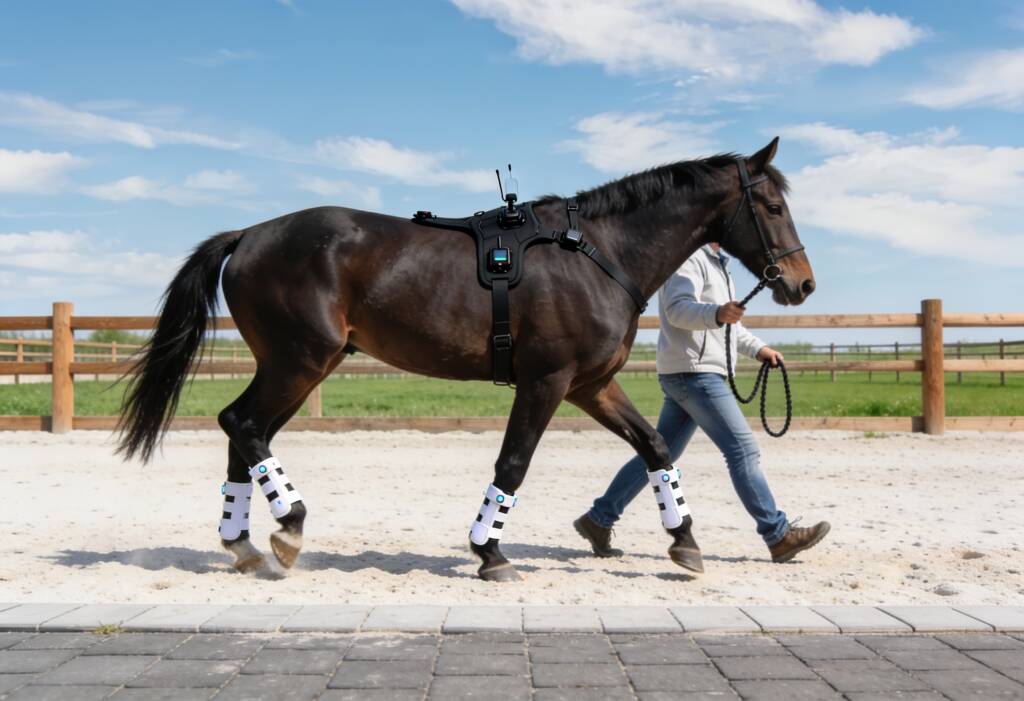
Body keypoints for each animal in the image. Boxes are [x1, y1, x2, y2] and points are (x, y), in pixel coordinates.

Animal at [116, 137, 815, 581]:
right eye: (772, 206)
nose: (802, 284)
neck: (595, 252)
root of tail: (249, 235)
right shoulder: (546, 382)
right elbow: (513, 464)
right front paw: (489, 553)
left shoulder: (591, 386)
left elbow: (655, 448)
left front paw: (686, 543)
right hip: (299, 362)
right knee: (244, 424)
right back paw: (288, 526)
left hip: (297, 365)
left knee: (244, 432)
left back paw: (245, 546)